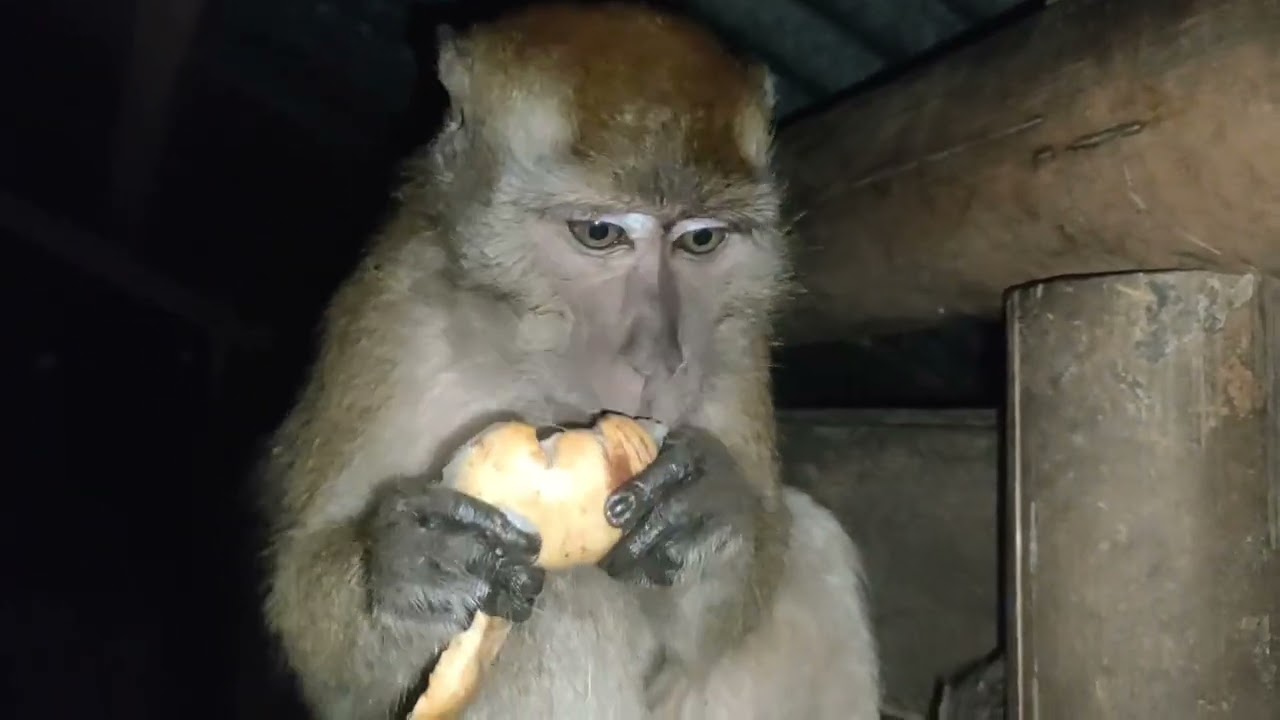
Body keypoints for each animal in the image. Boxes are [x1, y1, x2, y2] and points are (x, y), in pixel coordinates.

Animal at [259, 3, 881, 719]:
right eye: (600, 234)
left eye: (701, 239)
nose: (660, 361)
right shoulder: (393, 323)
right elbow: (321, 640)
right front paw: (413, 562)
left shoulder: (739, 338)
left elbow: (739, 586)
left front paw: (710, 515)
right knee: (561, 608)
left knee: (815, 543)